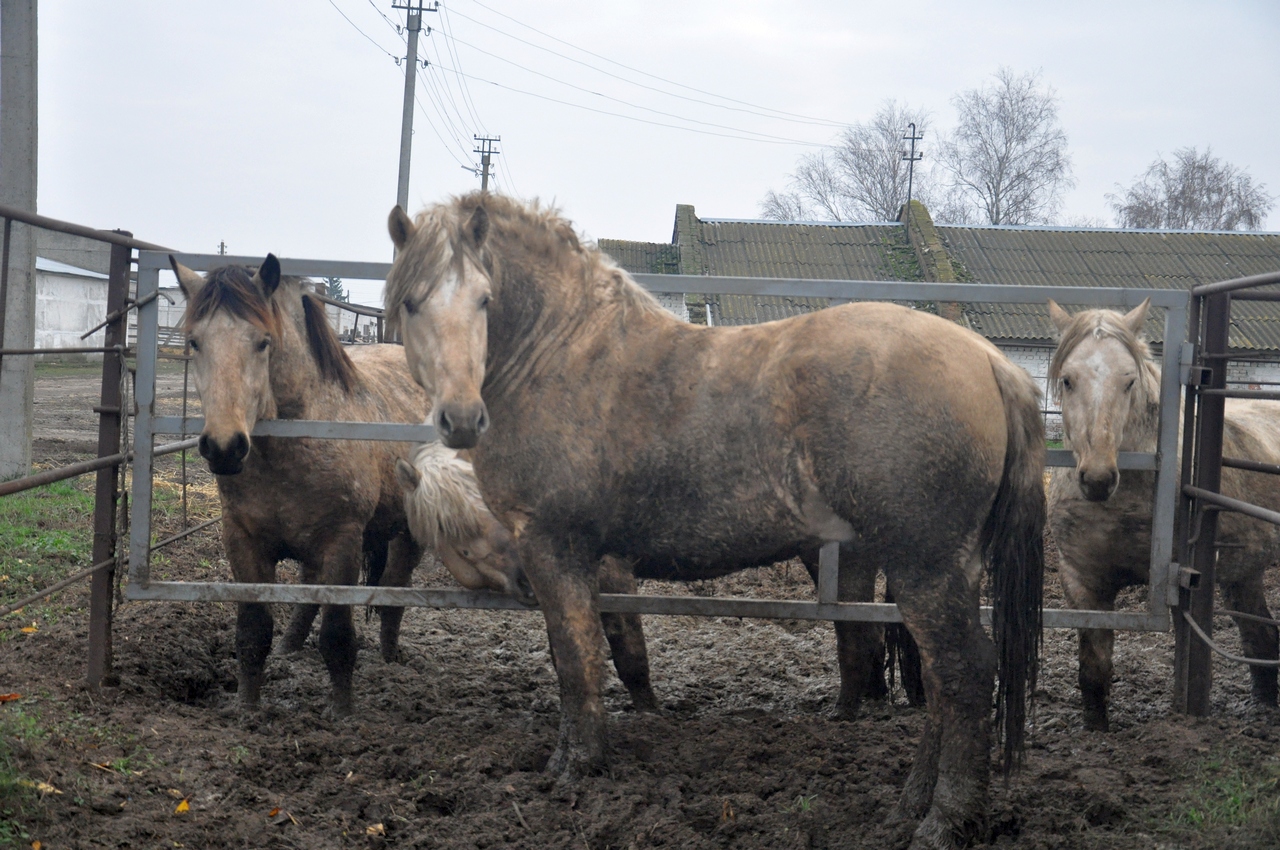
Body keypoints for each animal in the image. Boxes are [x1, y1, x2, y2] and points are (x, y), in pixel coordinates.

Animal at [171, 253, 524, 716]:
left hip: (406, 535)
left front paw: (342, 710)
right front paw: (247, 706)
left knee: (395, 589)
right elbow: (253, 629)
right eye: (195, 342)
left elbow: (337, 632)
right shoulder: (242, 540)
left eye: (263, 342)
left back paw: (390, 656)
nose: (224, 447)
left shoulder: (342, 541)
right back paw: (291, 645)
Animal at [384, 194, 1044, 850]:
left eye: (484, 299)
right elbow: (585, 653)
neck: (561, 357)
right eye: (412, 301)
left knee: (963, 672)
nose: (461, 418)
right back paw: (910, 806)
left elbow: (577, 658)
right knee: (941, 677)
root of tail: (990, 361)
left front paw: (576, 765)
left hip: (924, 564)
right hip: (947, 569)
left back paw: (944, 820)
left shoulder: (556, 547)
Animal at [1049, 300, 1280, 732]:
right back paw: (1264, 704)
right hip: (1245, 575)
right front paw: (1096, 729)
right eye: (1068, 380)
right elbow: (1093, 668)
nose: (1098, 478)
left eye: (1129, 381)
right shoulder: (1082, 581)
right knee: (1259, 634)